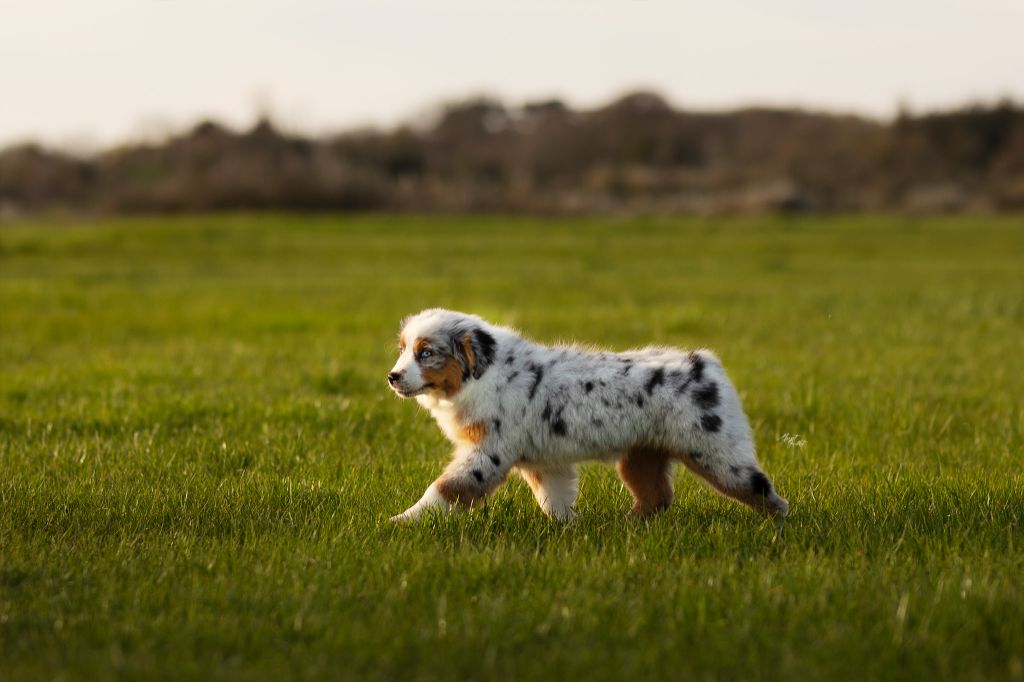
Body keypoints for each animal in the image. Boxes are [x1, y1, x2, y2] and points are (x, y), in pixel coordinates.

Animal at [387, 307, 786, 520]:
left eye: (426, 353)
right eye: (404, 350)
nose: (392, 377)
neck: (485, 374)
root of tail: (705, 362)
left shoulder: (488, 453)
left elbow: (445, 488)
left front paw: (401, 520)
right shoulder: (542, 461)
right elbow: (553, 498)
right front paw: (569, 527)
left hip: (717, 452)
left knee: (760, 488)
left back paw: (778, 526)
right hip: (641, 456)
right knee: (656, 496)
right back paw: (627, 525)